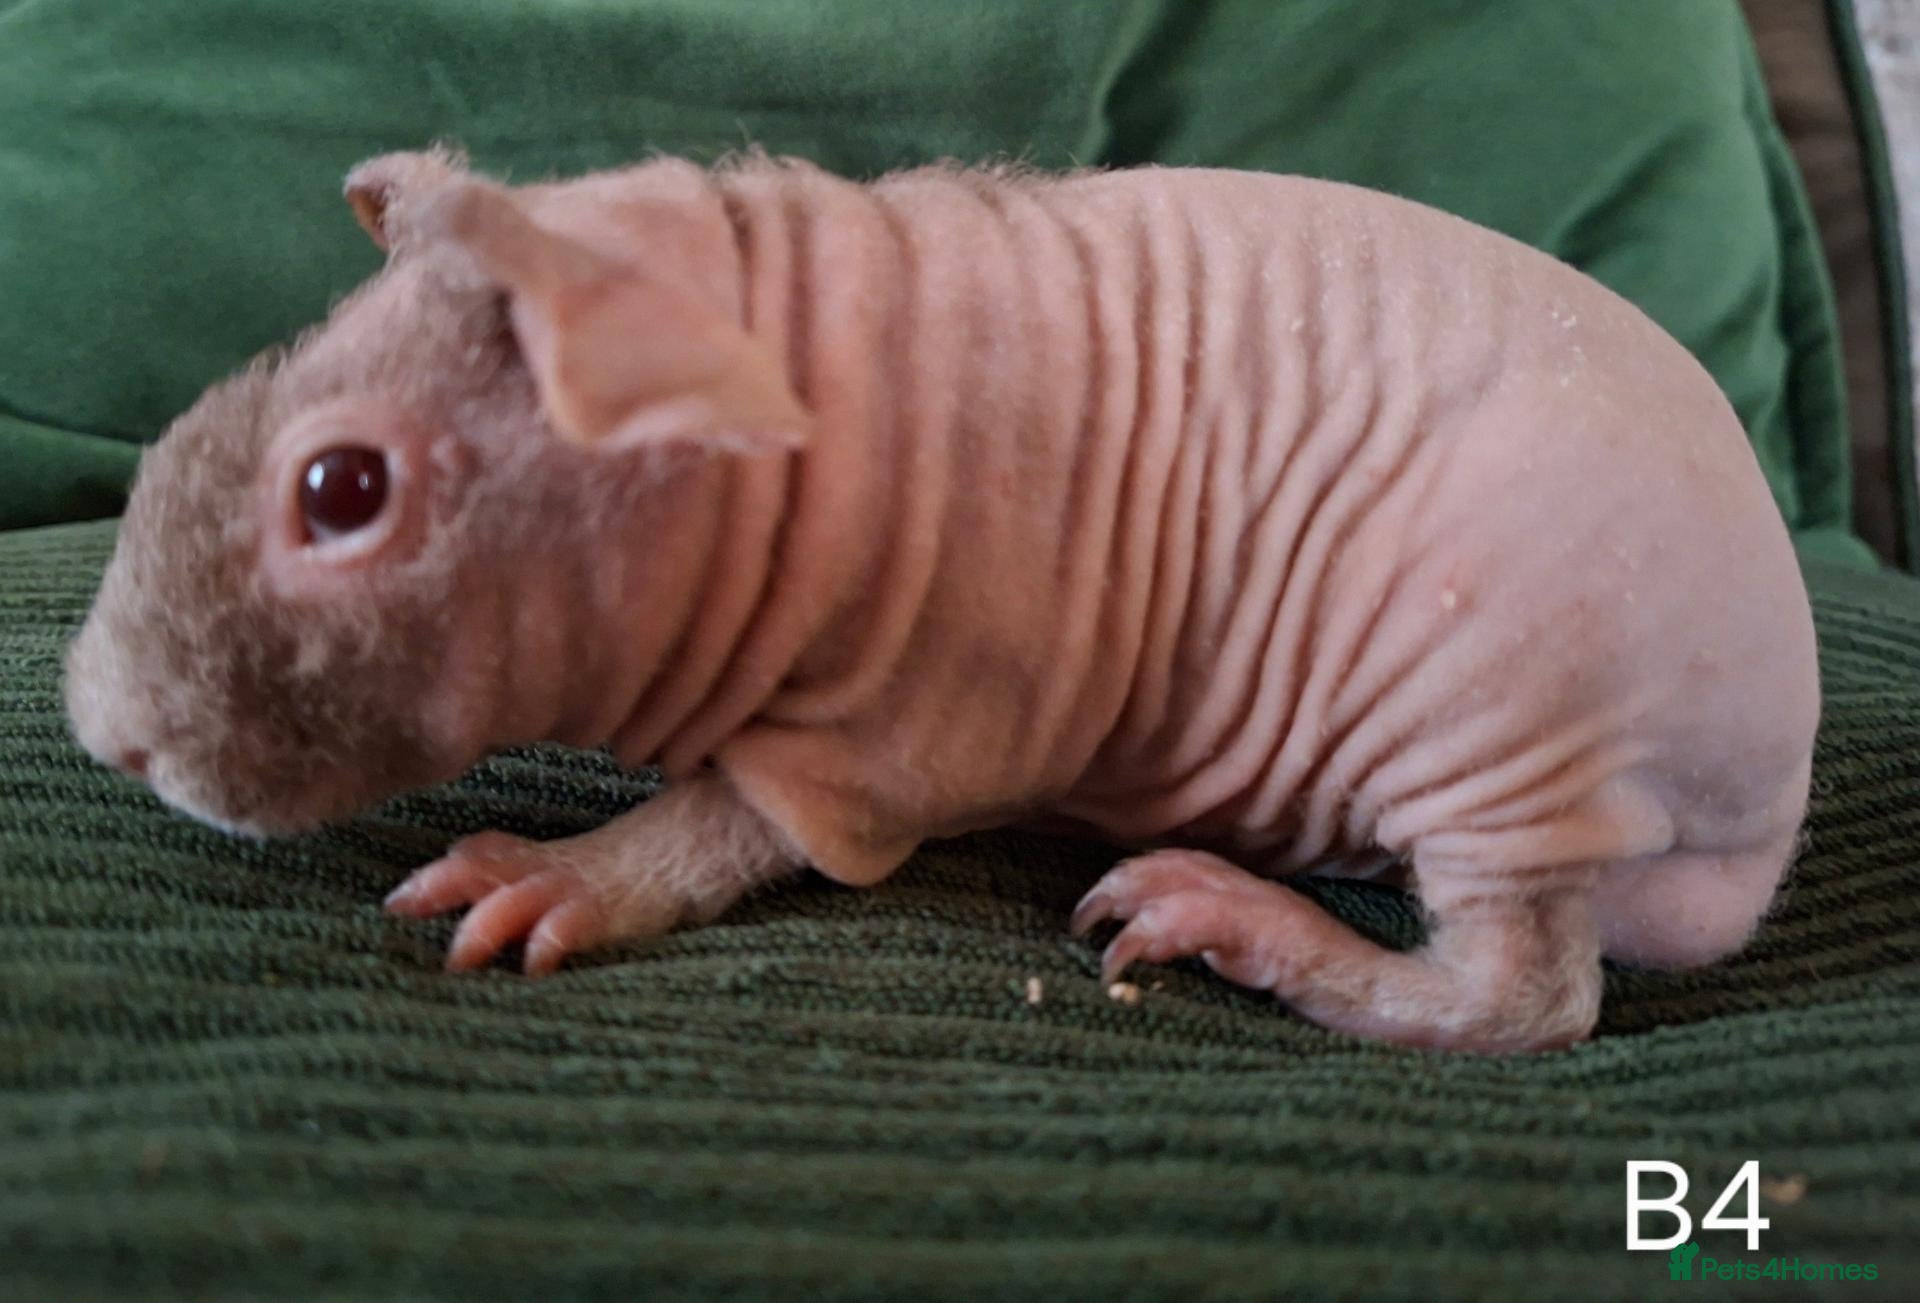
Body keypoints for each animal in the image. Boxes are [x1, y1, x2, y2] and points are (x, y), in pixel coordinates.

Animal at [63, 147, 1820, 1052]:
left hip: (1509, 703)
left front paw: (568, 868)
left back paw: (1246, 919)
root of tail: (1769, 791)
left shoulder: (935, 683)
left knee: (1530, 995)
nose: (98, 724)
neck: (770, 344)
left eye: (341, 490)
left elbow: (763, 817)